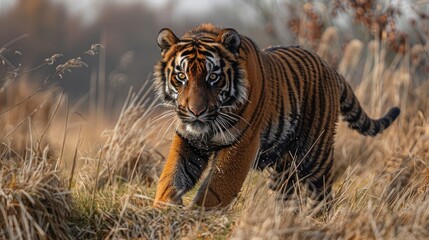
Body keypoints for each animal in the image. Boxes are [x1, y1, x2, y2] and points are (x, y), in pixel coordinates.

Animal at [152, 23, 400, 208]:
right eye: (181, 76)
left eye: (213, 77)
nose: (196, 112)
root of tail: (331, 69)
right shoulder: (189, 140)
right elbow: (171, 177)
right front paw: (164, 211)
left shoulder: (241, 143)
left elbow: (217, 187)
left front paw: (197, 218)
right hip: (282, 167)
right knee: (288, 199)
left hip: (315, 156)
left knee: (322, 196)